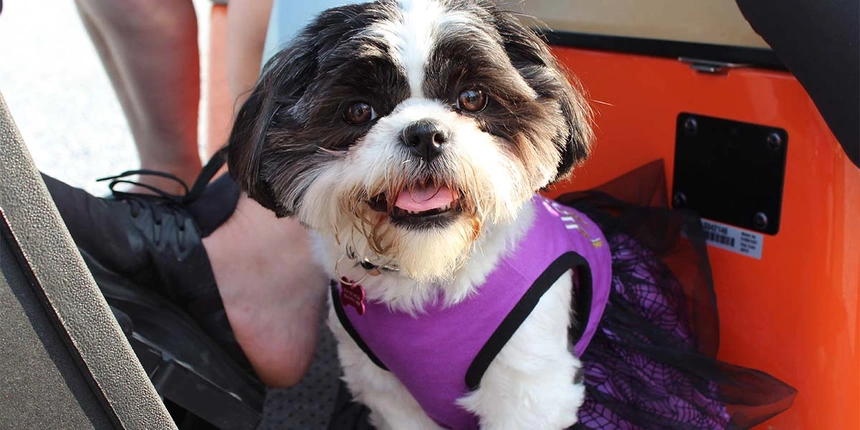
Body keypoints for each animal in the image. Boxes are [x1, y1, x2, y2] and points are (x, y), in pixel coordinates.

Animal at [225, 0, 596, 426]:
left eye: (472, 98)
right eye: (358, 110)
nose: (424, 134)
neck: (428, 269)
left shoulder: (529, 387)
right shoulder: (384, 387)